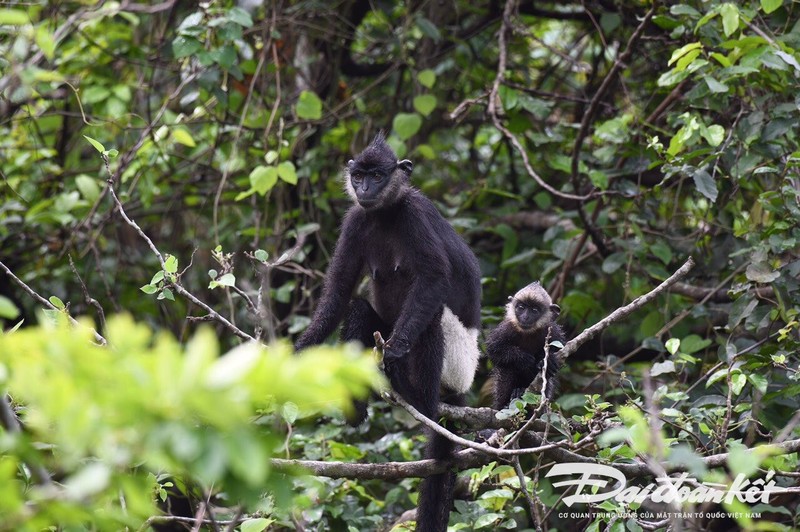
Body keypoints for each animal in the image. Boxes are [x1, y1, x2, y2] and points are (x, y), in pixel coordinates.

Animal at [296, 134, 478, 532]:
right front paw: (300, 350)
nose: (364, 188)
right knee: (359, 308)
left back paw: (416, 395)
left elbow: (434, 278)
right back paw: (357, 406)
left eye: (378, 175)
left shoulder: (416, 214)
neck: (384, 213)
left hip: (456, 365)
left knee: (432, 320)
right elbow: (339, 292)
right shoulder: (355, 220)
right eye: (359, 175)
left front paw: (394, 351)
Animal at [484, 280, 564, 410]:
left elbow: (558, 349)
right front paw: (523, 359)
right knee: (507, 369)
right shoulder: (506, 329)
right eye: (521, 307)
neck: (528, 333)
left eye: (534, 310)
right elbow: (494, 350)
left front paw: (549, 360)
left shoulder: (552, 330)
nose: (525, 317)